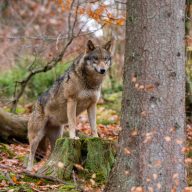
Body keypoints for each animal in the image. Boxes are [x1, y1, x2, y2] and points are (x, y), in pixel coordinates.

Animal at [26, 39, 112, 170]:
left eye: (105, 59)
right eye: (96, 58)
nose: (103, 70)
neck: (90, 82)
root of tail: (35, 104)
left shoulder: (92, 105)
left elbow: (94, 125)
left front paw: (96, 137)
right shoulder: (72, 101)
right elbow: (73, 122)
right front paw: (73, 137)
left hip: (57, 137)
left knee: (52, 154)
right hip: (36, 137)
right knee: (31, 154)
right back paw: (29, 170)